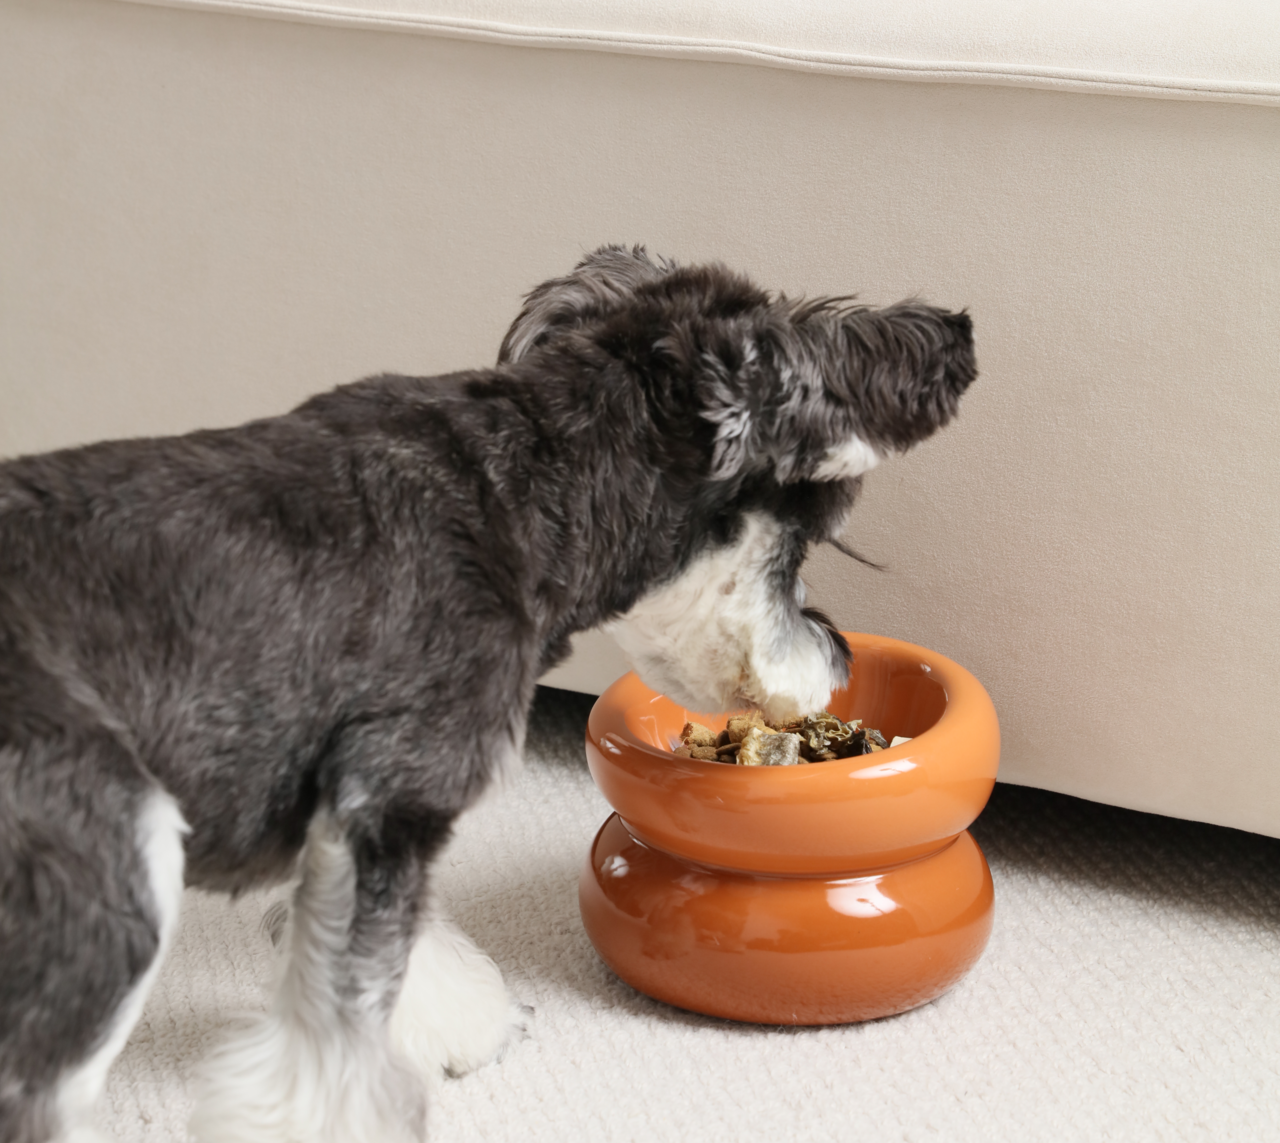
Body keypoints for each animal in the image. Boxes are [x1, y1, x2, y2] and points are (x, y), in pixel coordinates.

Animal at [0, 247, 972, 1141]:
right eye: (810, 536)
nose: (836, 661)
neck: (526, 491)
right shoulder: (399, 788)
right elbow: (341, 1027)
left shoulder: (357, 821)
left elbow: (388, 952)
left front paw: (461, 1022)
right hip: (115, 868)